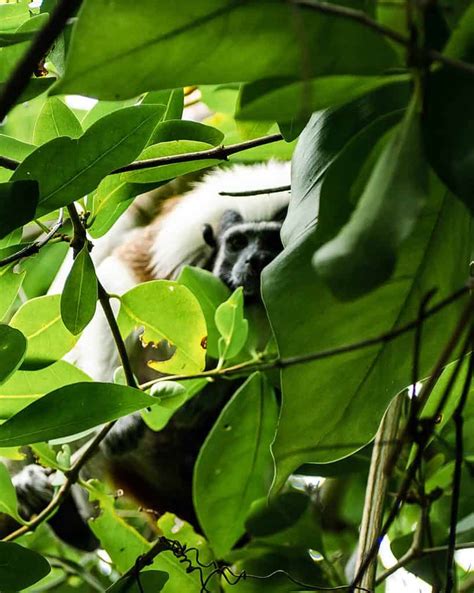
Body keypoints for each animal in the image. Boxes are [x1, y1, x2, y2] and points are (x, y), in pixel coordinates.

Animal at [1, 160, 290, 548]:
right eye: (237, 243)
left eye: (272, 241)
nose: (255, 260)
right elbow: (118, 282)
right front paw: (121, 415)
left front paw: (208, 393)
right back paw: (67, 519)